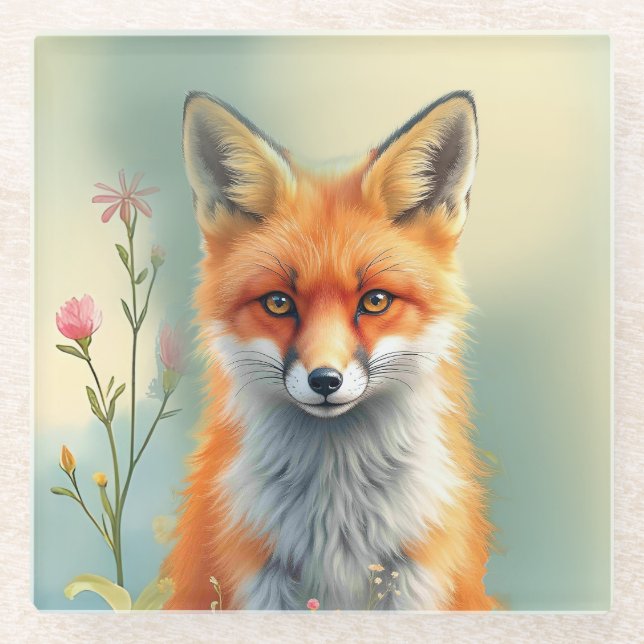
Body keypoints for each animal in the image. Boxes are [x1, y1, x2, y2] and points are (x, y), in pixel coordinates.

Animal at [162, 89, 498, 610]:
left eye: (375, 301)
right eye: (279, 302)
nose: (324, 381)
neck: (336, 515)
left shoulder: (417, 577)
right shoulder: (255, 578)